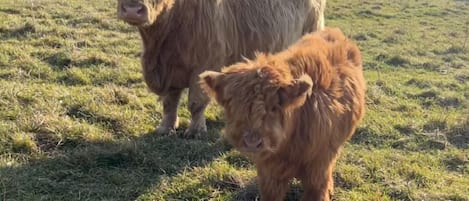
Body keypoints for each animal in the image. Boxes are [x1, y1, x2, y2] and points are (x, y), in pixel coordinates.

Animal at [117, 0, 326, 137]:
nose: (132, 10)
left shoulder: (204, 63)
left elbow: (196, 102)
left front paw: (195, 131)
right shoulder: (170, 70)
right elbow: (169, 102)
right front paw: (165, 128)